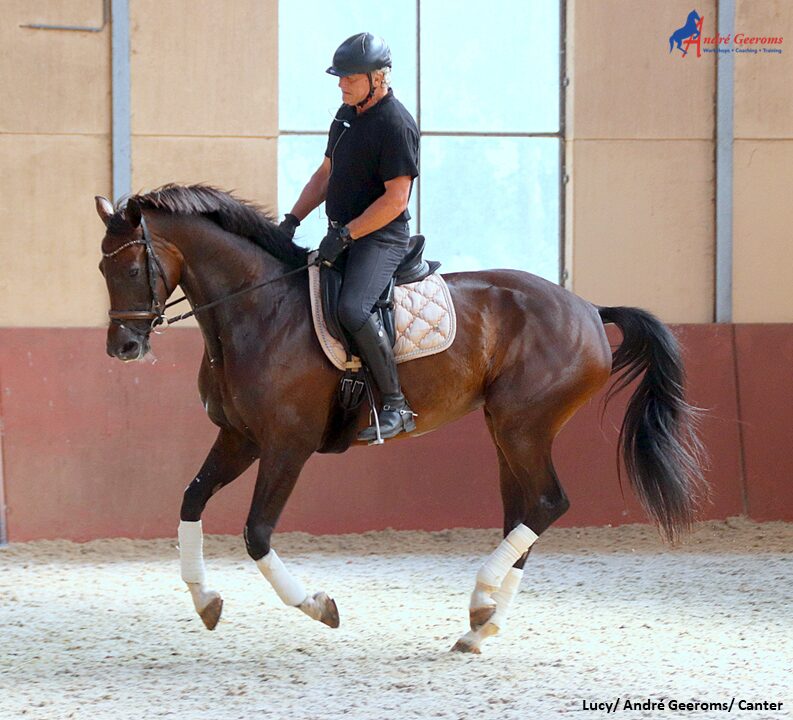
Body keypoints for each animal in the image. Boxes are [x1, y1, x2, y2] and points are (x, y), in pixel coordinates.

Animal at [94, 184, 704, 652]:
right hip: (508, 432)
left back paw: (482, 605)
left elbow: (257, 533)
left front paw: (318, 605)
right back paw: (481, 623)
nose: (123, 347)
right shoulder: (239, 437)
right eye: (102, 266)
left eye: (132, 265)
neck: (256, 310)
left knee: (549, 503)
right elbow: (191, 500)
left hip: (522, 427)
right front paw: (206, 600)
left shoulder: (287, 444)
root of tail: (589, 310)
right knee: (524, 514)